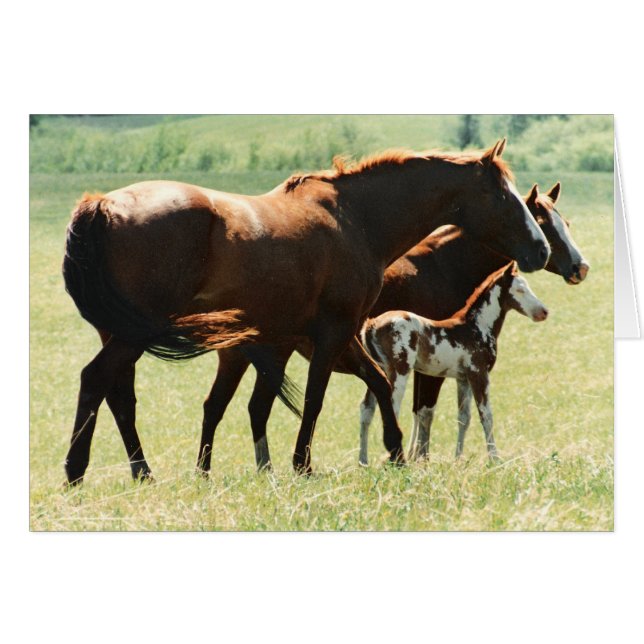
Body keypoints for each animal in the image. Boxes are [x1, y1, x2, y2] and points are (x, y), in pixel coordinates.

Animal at [359, 263, 548, 464]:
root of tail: (371, 324)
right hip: (399, 371)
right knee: (392, 409)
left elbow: (464, 418)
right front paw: (495, 459)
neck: (476, 326)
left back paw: (363, 461)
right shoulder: (479, 374)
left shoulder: (463, 379)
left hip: (379, 370)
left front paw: (458, 460)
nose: (544, 312)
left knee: (367, 409)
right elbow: (486, 415)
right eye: (520, 289)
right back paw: (395, 461)